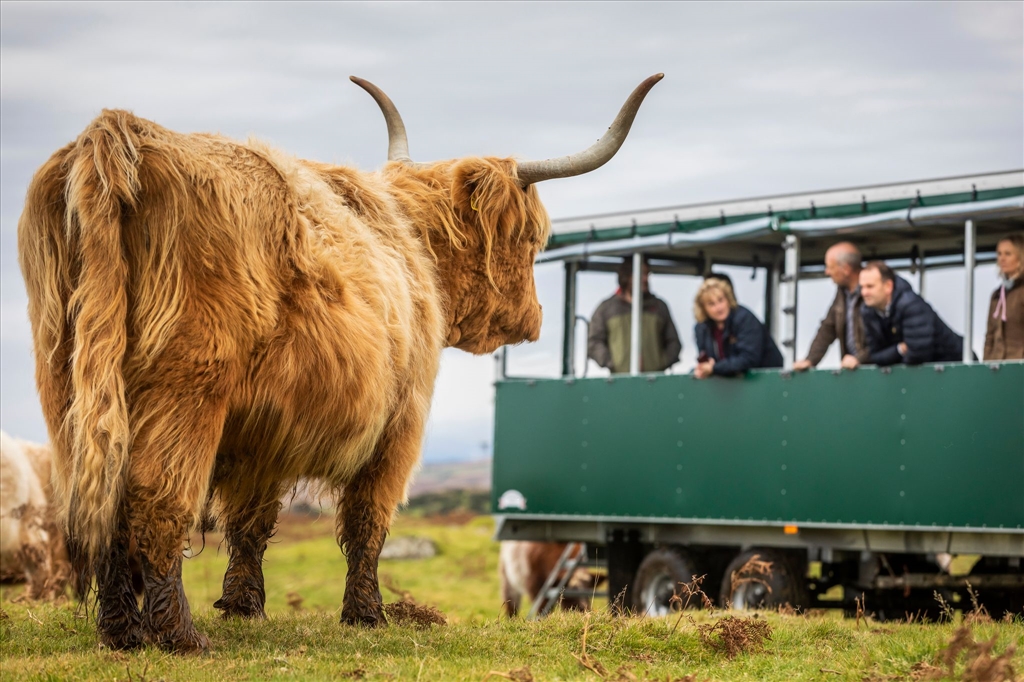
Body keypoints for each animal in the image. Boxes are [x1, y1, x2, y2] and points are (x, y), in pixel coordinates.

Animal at [18, 71, 663, 651]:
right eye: (530, 239)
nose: (533, 319)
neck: (409, 244)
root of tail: (119, 134)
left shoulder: (266, 428)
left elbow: (252, 520)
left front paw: (244, 606)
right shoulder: (402, 420)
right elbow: (367, 519)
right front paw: (367, 614)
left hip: (68, 383)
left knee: (97, 499)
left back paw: (120, 631)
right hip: (189, 388)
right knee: (156, 498)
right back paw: (178, 636)